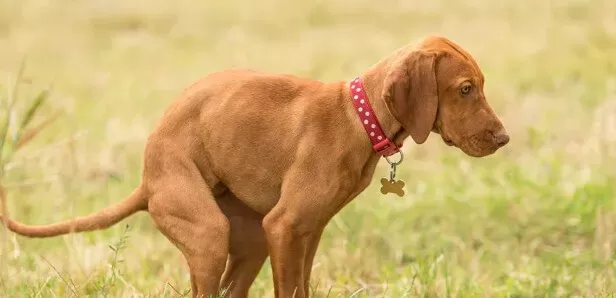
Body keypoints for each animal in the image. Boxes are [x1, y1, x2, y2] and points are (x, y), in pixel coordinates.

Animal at [2, 36, 508, 296]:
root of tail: (147, 181)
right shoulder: (285, 226)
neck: (358, 116)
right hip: (208, 232)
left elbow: (301, 287)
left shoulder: (304, 232)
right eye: (466, 89)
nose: (504, 139)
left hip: (249, 238)